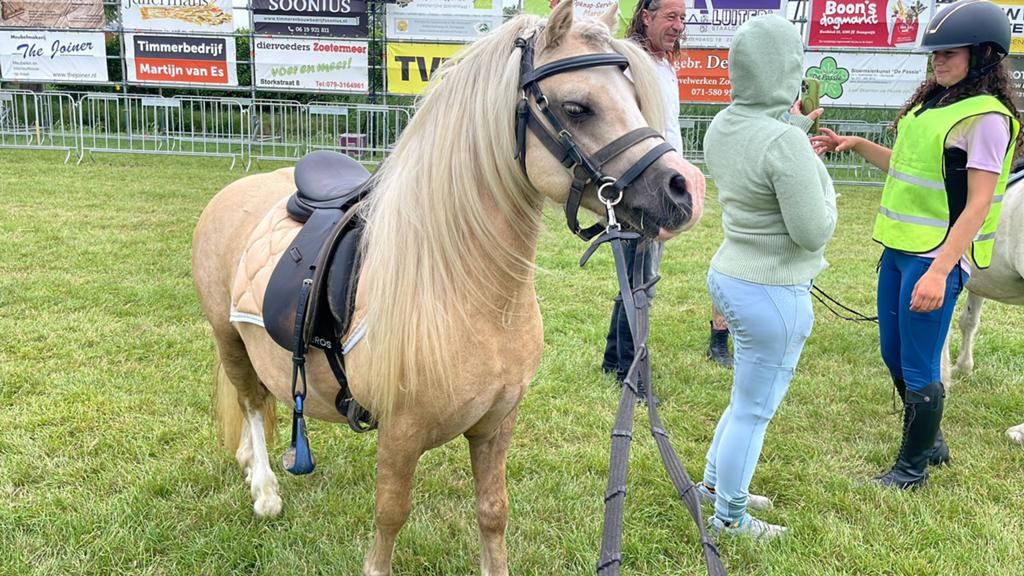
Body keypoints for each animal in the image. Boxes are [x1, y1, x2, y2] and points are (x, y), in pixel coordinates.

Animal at [190, 3, 698, 574]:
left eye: (635, 97)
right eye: (578, 107)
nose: (684, 190)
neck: (467, 289)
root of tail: (238, 187)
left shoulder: (498, 424)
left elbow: (493, 512)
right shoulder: (399, 433)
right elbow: (390, 516)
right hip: (226, 336)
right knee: (251, 401)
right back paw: (264, 490)